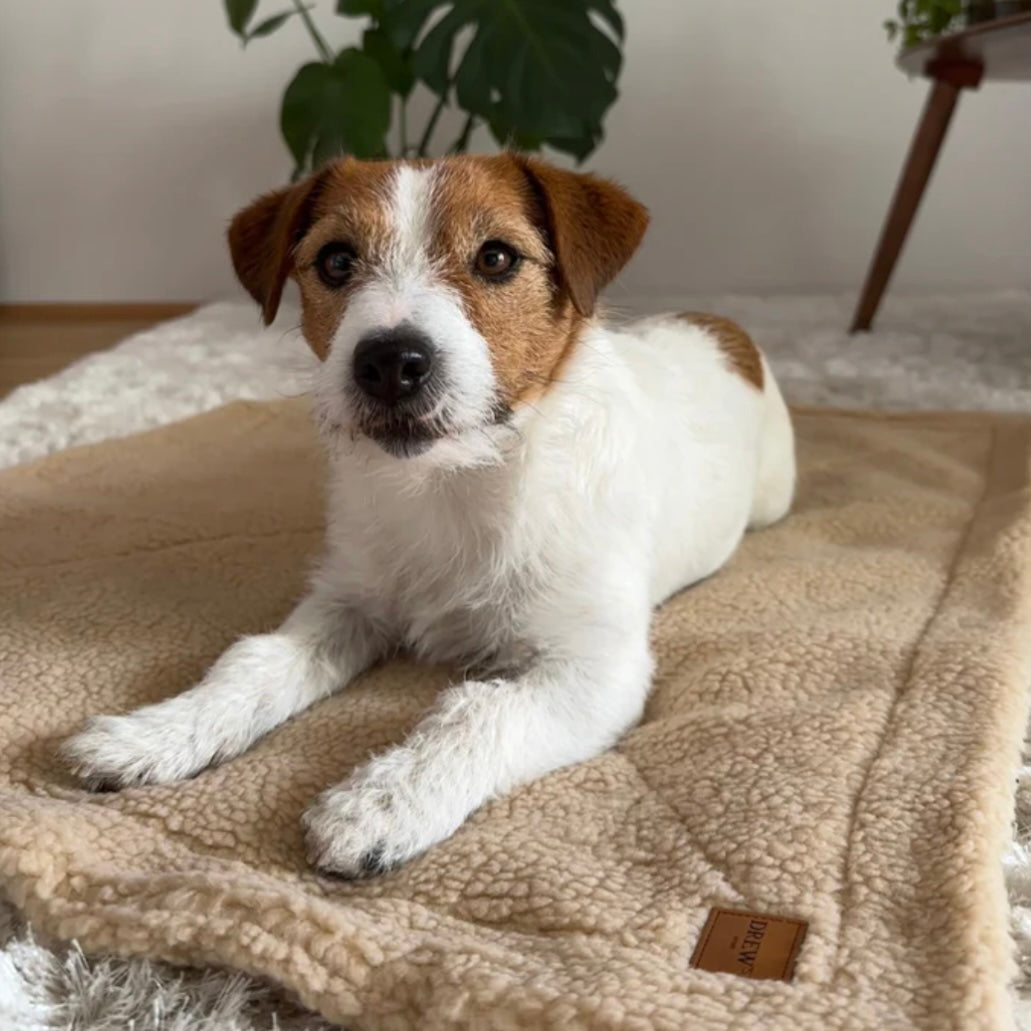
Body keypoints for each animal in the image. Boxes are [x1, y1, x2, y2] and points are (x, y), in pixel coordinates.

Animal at [60, 152, 791, 878]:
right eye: (336, 260)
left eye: (496, 257)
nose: (389, 362)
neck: (452, 485)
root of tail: (720, 326)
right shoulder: (348, 602)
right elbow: (254, 661)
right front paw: (158, 732)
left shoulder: (596, 667)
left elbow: (481, 715)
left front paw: (385, 803)